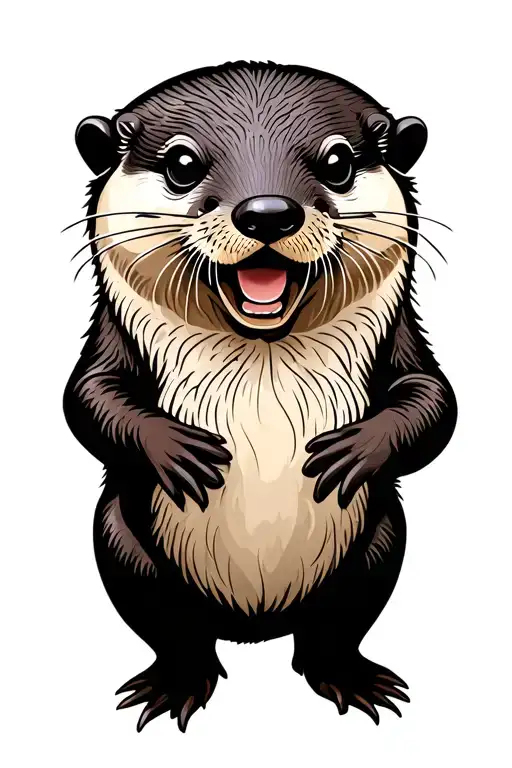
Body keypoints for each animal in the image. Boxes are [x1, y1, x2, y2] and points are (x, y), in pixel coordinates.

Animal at [63, 61, 457, 733]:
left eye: (337, 162)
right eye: (182, 163)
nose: (268, 212)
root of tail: (256, 625)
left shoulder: (404, 337)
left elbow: (433, 398)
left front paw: (355, 450)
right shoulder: (108, 341)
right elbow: (88, 398)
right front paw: (178, 451)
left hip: (378, 542)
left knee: (335, 626)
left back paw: (348, 677)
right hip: (124, 542)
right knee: (174, 627)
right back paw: (176, 682)